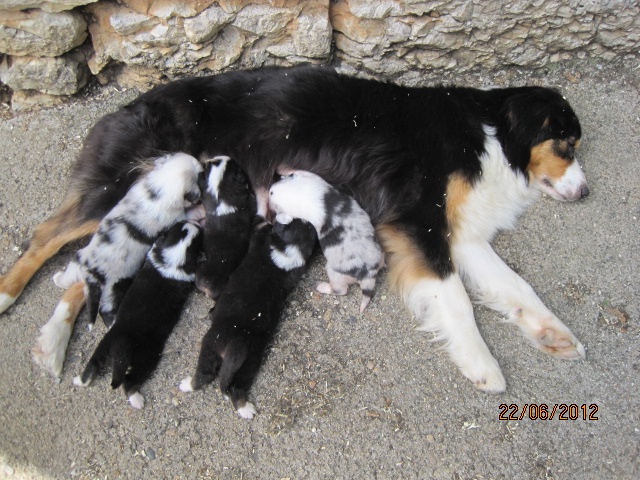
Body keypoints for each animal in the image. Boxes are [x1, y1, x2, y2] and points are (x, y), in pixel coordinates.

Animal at [73, 221, 201, 408]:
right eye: (198, 237)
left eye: (176, 227)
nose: (196, 223)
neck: (169, 258)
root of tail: (119, 343)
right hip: (146, 356)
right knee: (128, 380)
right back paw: (136, 399)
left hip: (103, 346)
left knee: (92, 365)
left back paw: (80, 380)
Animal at [179, 216, 316, 418]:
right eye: (303, 223)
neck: (286, 252)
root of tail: (237, 343)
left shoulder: (259, 236)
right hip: (247, 364)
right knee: (229, 384)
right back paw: (244, 408)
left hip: (211, 345)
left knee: (207, 375)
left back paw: (189, 385)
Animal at [268, 171, 382, 314]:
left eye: (271, 194)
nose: (269, 191)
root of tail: (367, 275)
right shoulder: (314, 179)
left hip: (334, 274)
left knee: (341, 290)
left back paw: (323, 287)